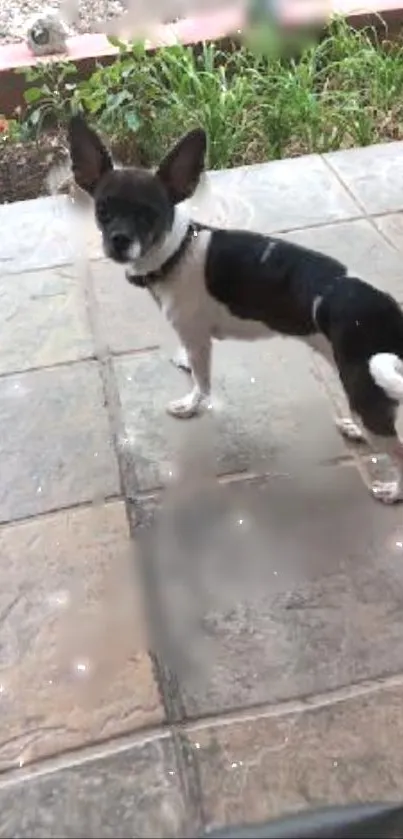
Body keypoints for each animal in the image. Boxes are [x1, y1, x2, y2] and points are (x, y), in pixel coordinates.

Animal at [68, 114, 403, 502]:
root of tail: (390, 310)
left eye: (149, 215)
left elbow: (202, 383)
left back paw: (393, 490)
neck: (177, 253)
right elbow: (191, 362)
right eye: (103, 210)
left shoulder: (199, 340)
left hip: (365, 386)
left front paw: (191, 405)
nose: (119, 240)